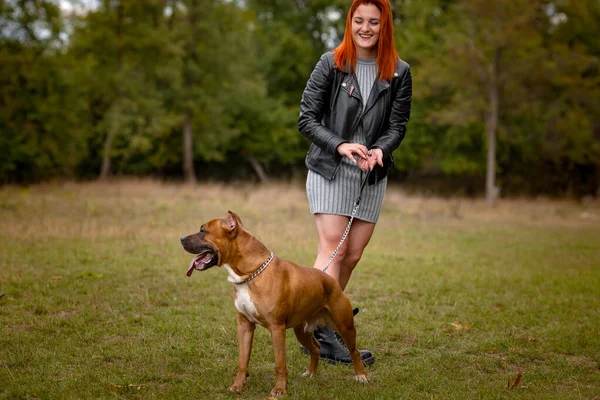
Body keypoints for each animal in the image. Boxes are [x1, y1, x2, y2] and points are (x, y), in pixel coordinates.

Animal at [179, 212, 366, 396]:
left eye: (202, 231)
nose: (181, 238)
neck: (250, 274)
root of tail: (332, 281)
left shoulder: (277, 329)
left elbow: (280, 364)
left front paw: (279, 390)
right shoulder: (244, 326)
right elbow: (242, 361)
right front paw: (238, 385)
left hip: (345, 326)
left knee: (354, 351)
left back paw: (361, 375)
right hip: (302, 331)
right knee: (316, 348)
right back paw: (311, 373)